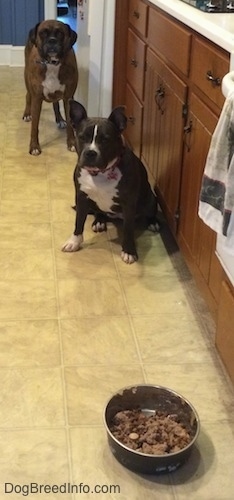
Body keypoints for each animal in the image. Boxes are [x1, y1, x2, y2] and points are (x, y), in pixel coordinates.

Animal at [22, 19, 78, 155]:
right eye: (43, 33)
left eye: (60, 33)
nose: (52, 40)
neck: (52, 64)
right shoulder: (37, 99)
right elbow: (34, 126)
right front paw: (34, 146)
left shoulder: (68, 98)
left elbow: (70, 124)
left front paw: (72, 143)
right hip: (27, 80)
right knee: (28, 96)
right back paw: (27, 114)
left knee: (55, 103)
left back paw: (60, 119)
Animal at [62, 102, 160, 266]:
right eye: (82, 137)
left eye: (105, 140)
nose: (90, 153)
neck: (100, 173)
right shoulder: (81, 197)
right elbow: (79, 221)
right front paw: (74, 242)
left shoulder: (128, 204)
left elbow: (128, 230)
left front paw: (129, 251)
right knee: (99, 212)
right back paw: (99, 221)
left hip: (150, 199)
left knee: (150, 211)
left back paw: (153, 222)